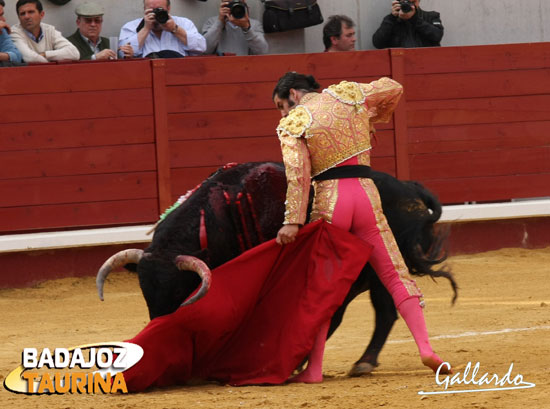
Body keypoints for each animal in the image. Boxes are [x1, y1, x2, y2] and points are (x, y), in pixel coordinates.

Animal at [97, 161, 460, 374]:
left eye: (176, 290)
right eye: (145, 291)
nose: (157, 327)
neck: (216, 217)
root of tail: (409, 188)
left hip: (380, 267)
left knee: (383, 310)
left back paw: (360, 362)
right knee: (357, 311)